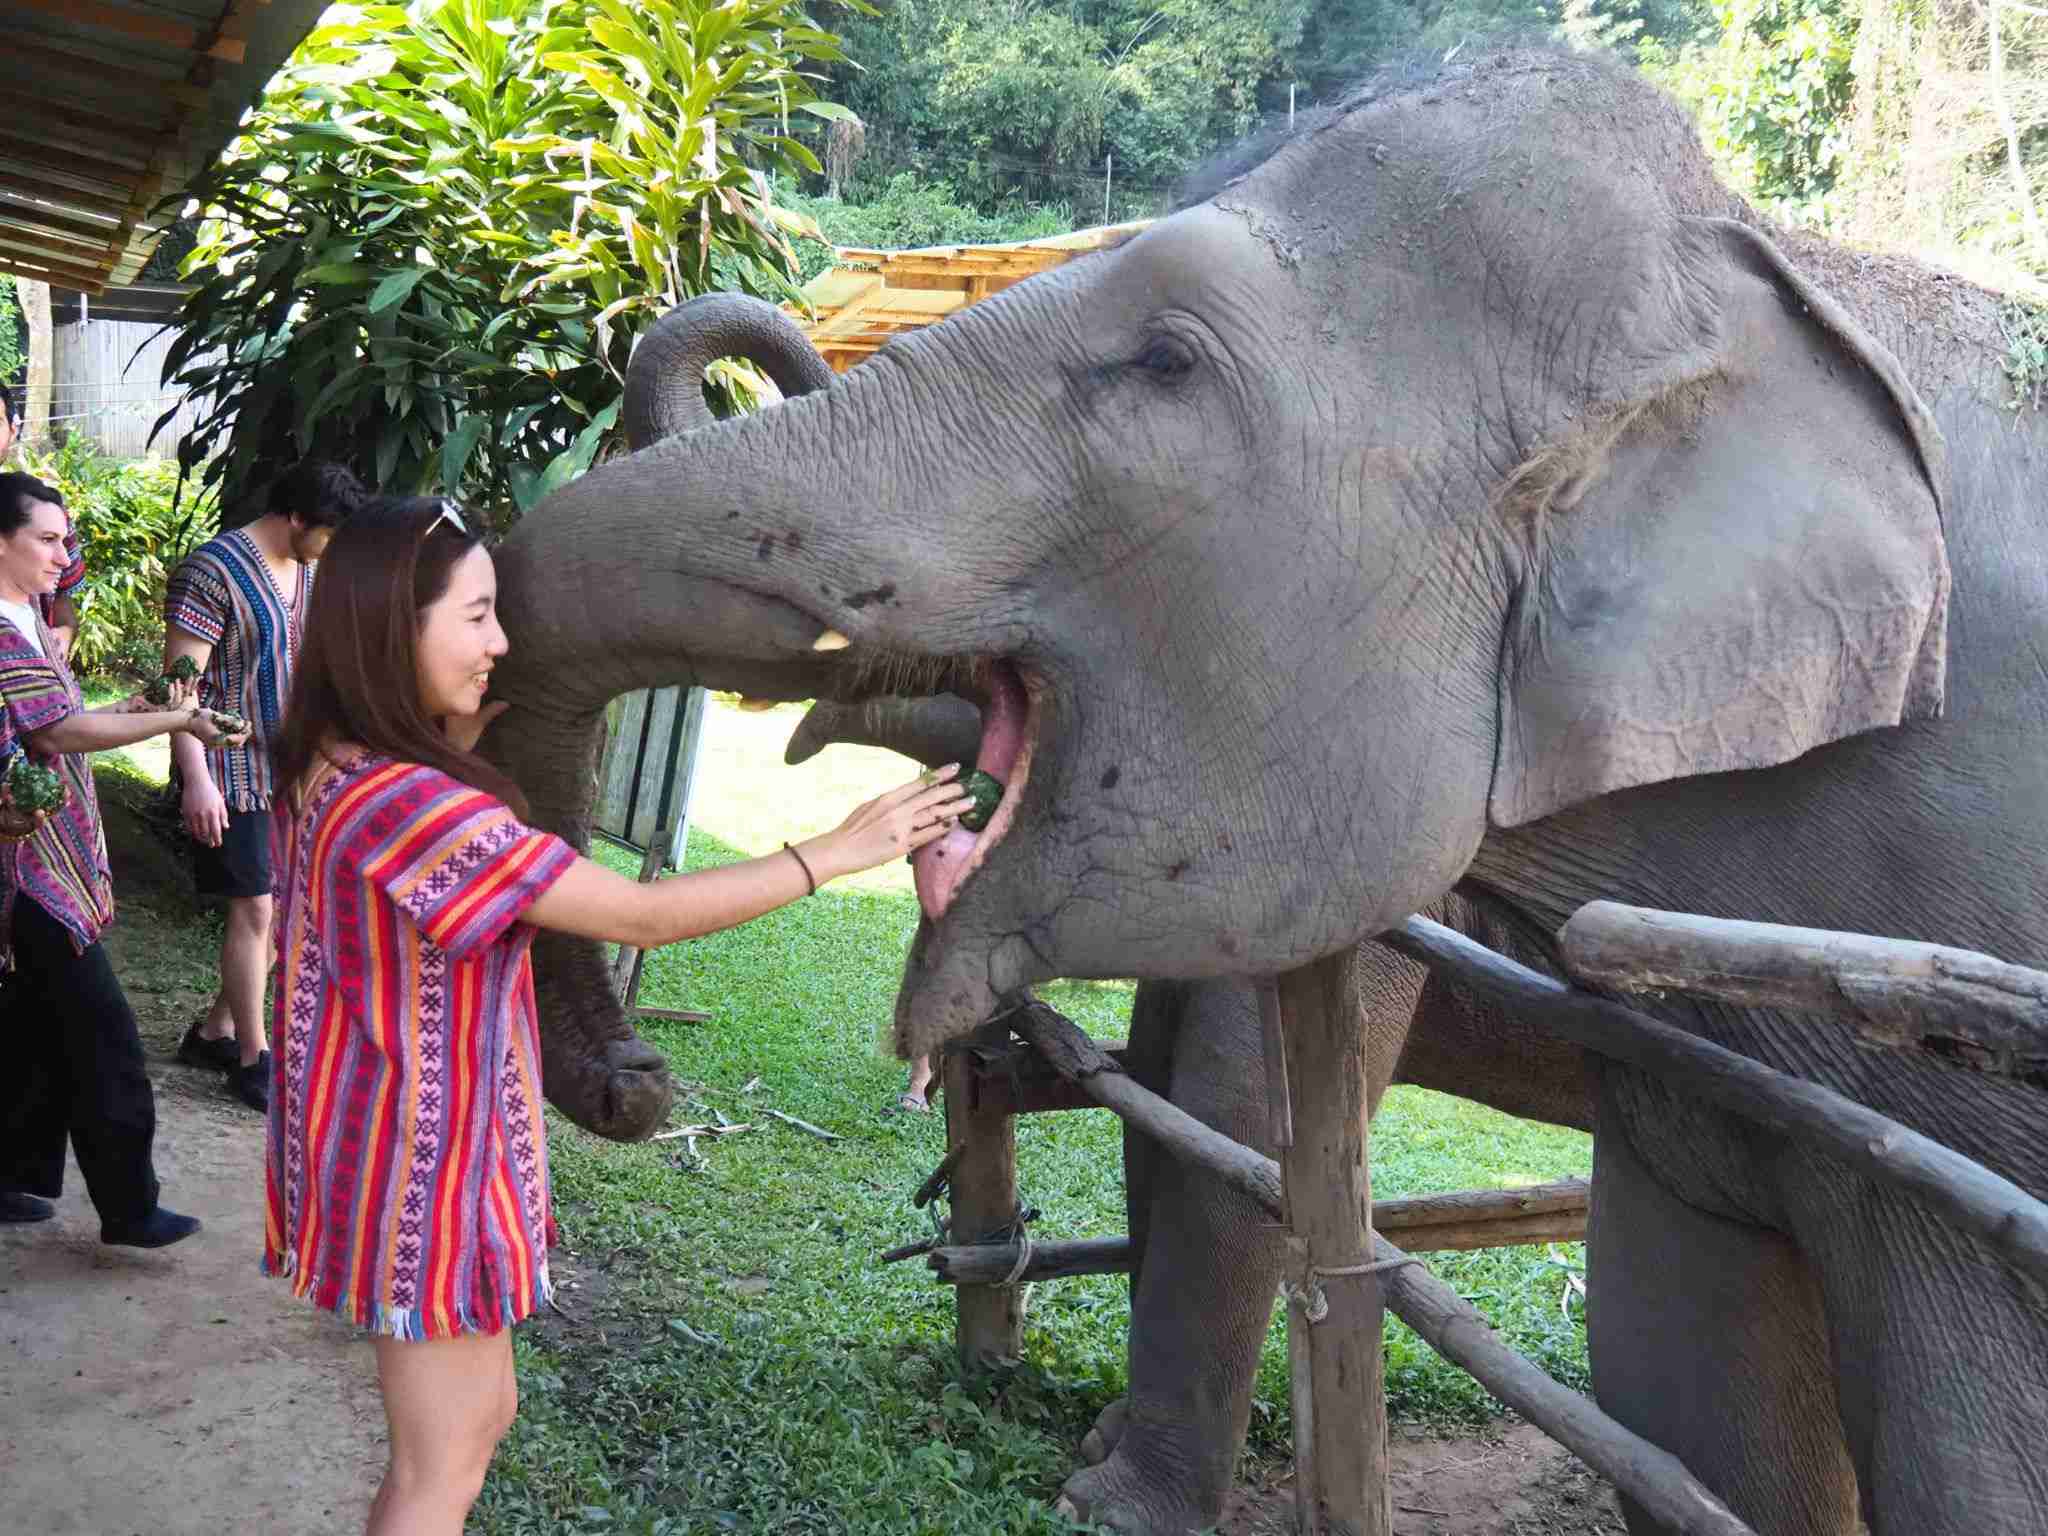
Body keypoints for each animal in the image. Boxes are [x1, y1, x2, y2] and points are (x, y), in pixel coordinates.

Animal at [486, 43, 2048, 1536]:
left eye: (1163, 361)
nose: (641, 1083)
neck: (1773, 277)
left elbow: (1240, 1116)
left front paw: (1112, 1503)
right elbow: (1682, 1396)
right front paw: (1106, 1453)